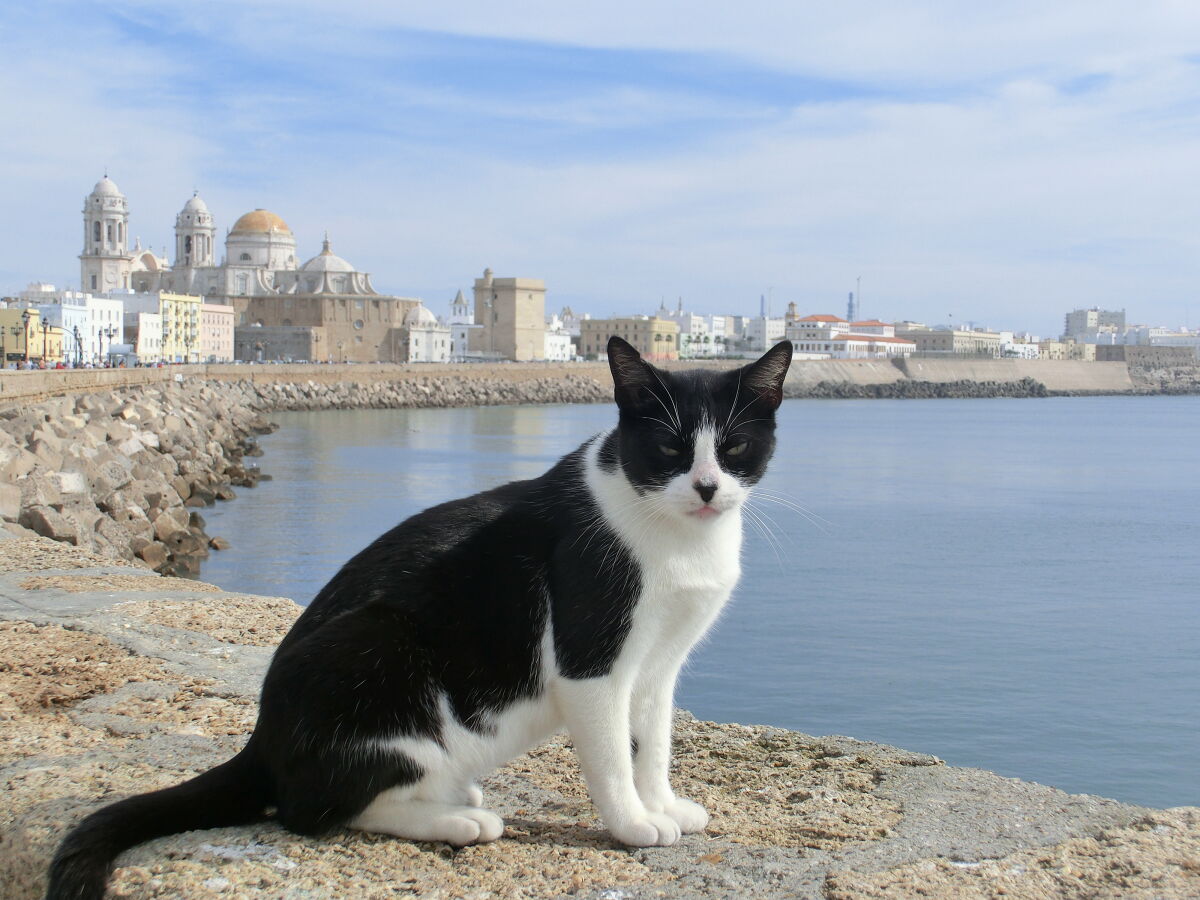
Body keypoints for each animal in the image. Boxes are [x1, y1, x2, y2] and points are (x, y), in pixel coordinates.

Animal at [49, 336, 796, 900]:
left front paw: (662, 805)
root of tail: (262, 737)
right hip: (378, 644)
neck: (678, 540)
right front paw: (631, 826)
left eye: (733, 447)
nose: (706, 487)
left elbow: (653, 745)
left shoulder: (657, 666)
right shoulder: (593, 659)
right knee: (309, 811)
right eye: (670, 449)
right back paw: (457, 823)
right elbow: (614, 756)